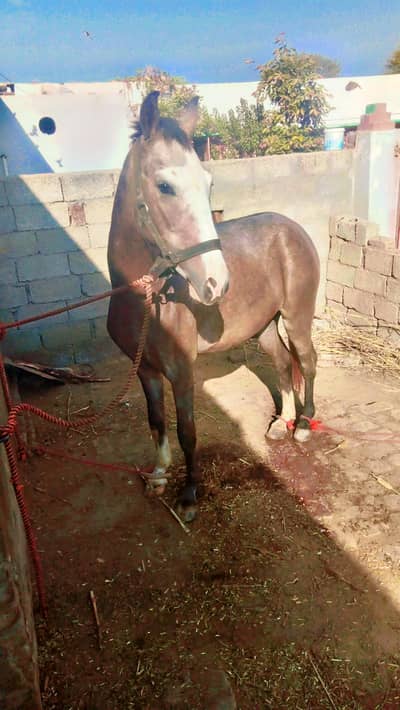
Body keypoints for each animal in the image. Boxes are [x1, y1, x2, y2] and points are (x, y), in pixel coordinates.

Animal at [107, 91, 320, 522]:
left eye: (208, 183)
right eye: (165, 185)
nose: (216, 284)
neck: (143, 299)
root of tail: (293, 229)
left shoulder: (181, 371)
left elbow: (187, 430)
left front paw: (189, 494)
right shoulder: (146, 370)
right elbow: (156, 422)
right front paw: (158, 476)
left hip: (297, 318)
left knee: (306, 361)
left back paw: (304, 424)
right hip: (264, 327)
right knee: (282, 363)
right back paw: (281, 423)